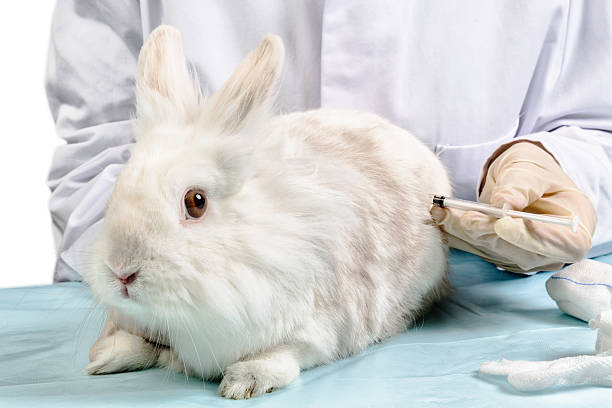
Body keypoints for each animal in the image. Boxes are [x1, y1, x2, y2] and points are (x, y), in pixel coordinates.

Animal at [85, 24, 450, 398]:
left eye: (196, 201)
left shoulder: (321, 326)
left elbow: (287, 353)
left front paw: (243, 382)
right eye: (118, 187)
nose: (121, 272)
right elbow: (151, 345)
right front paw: (106, 357)